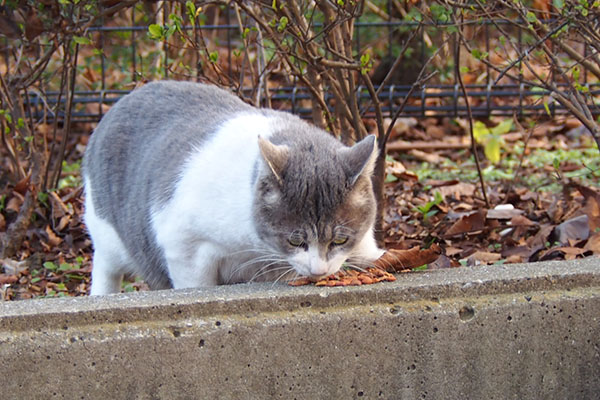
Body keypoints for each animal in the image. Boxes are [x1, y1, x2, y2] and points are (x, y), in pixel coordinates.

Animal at [83, 80, 384, 294]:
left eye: (340, 240)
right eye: (295, 241)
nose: (319, 270)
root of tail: (120, 102)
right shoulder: (184, 244)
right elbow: (194, 282)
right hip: (106, 232)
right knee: (106, 268)